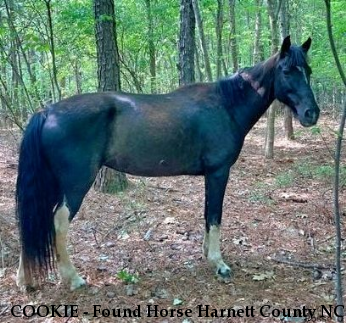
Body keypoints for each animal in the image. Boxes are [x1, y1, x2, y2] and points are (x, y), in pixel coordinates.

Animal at [16, 35, 318, 292]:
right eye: (287, 71)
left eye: (309, 70)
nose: (311, 113)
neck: (226, 105)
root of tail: (47, 112)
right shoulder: (218, 172)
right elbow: (215, 215)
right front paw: (218, 263)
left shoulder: (210, 175)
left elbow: (207, 214)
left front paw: (207, 254)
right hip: (76, 184)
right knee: (57, 221)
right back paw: (73, 278)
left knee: (36, 220)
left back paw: (25, 280)